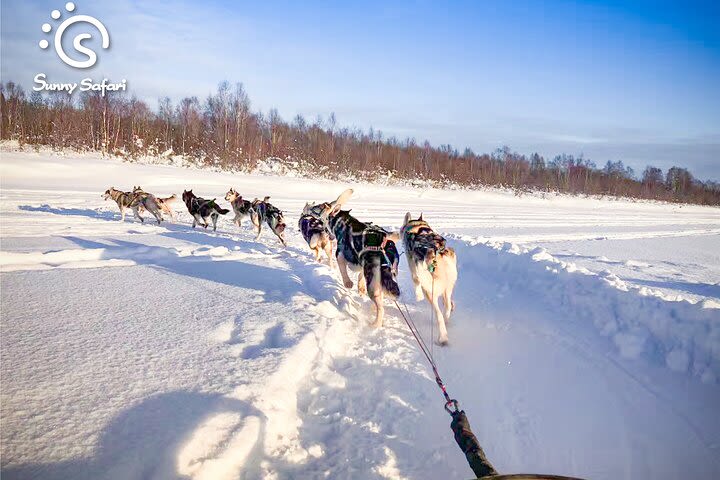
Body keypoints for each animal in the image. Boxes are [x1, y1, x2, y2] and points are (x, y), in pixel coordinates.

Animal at [308, 189, 402, 328]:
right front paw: (360, 287)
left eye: (321, 206)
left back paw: (375, 324)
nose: (311, 207)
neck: (344, 223)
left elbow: (343, 272)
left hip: (372, 285)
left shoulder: (340, 256)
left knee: (381, 308)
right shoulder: (360, 264)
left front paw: (348, 283)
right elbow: (360, 276)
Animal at [402, 212, 458, 344]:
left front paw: (418, 296)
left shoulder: (413, 267)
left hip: (430, 292)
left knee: (439, 315)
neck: (417, 226)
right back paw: (448, 314)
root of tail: (439, 253)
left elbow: (415, 280)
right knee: (447, 305)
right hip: (448, 287)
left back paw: (443, 337)